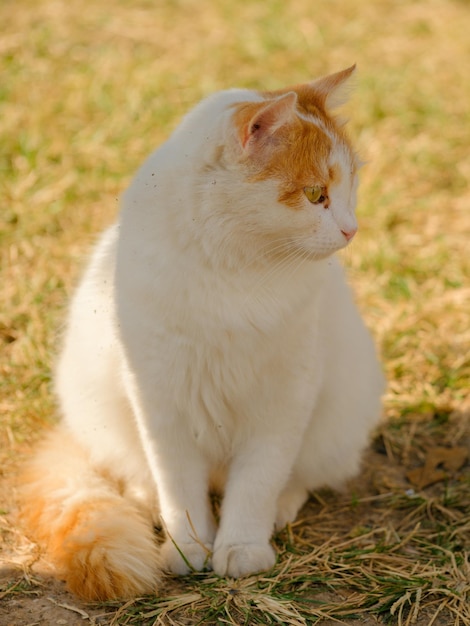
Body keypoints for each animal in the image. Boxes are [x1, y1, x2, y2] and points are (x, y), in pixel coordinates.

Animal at [20, 67, 384, 600]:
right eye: (316, 194)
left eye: (353, 185)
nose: (351, 229)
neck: (234, 268)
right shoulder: (160, 402)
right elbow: (179, 489)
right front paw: (188, 547)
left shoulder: (283, 400)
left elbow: (257, 482)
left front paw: (243, 548)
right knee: (141, 476)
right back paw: (148, 500)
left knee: (295, 478)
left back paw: (280, 508)